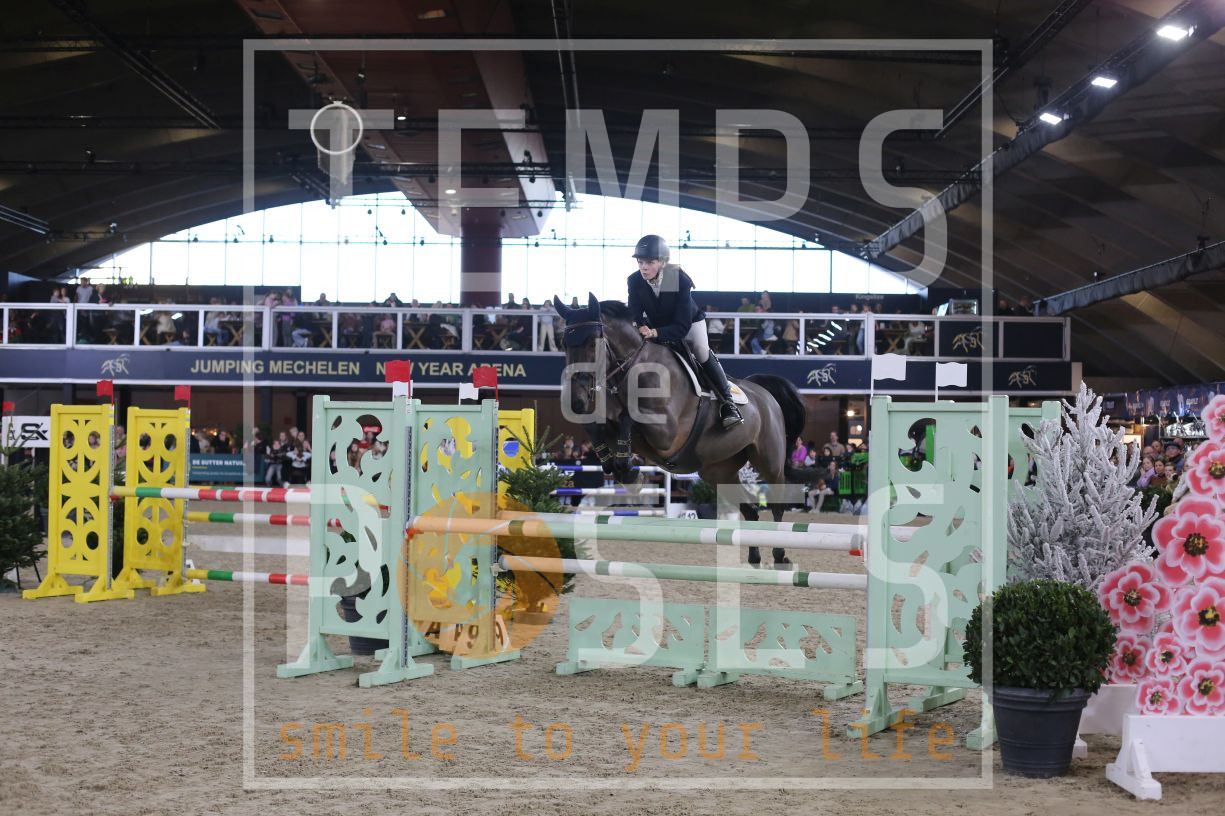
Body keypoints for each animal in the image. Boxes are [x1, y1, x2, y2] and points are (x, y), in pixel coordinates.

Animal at [552, 293, 810, 568]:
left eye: (592, 343)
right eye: (564, 344)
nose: (576, 402)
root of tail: (765, 394)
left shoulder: (667, 434)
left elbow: (628, 417)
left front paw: (629, 472)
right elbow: (595, 425)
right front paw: (619, 468)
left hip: (769, 461)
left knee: (777, 505)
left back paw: (780, 555)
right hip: (718, 471)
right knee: (749, 509)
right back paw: (754, 557)